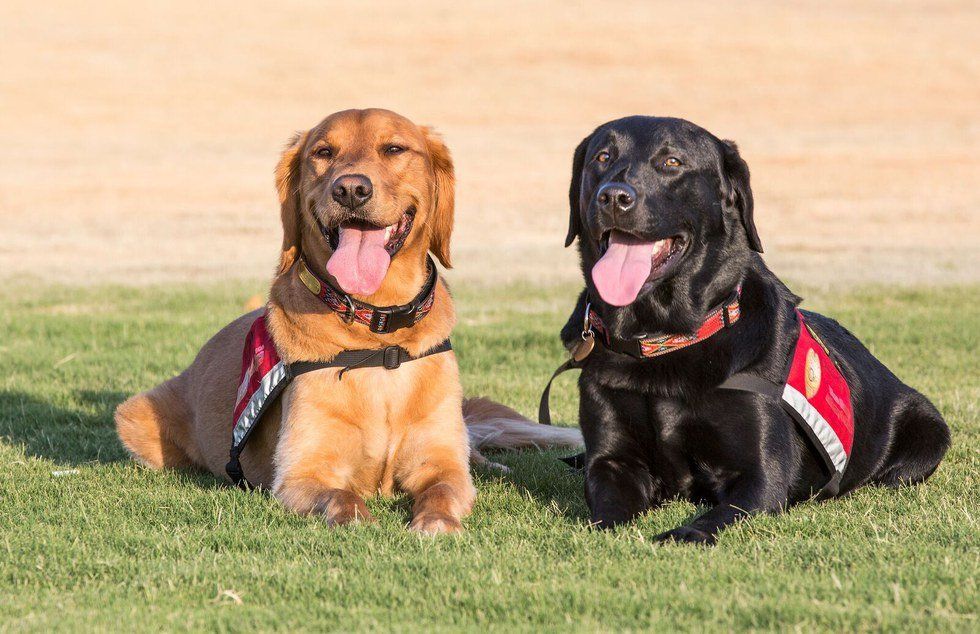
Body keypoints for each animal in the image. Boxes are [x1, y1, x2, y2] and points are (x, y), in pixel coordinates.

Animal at [118, 110, 584, 532]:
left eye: (394, 149)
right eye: (323, 152)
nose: (351, 189)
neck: (377, 335)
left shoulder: (440, 462)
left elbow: (443, 490)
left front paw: (436, 523)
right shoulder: (301, 472)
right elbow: (340, 497)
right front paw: (357, 517)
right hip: (135, 417)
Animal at [560, 117, 948, 544]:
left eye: (672, 162)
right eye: (602, 157)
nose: (613, 197)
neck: (665, 340)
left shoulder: (763, 474)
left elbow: (716, 516)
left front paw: (681, 534)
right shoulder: (612, 461)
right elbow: (608, 514)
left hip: (928, 431)